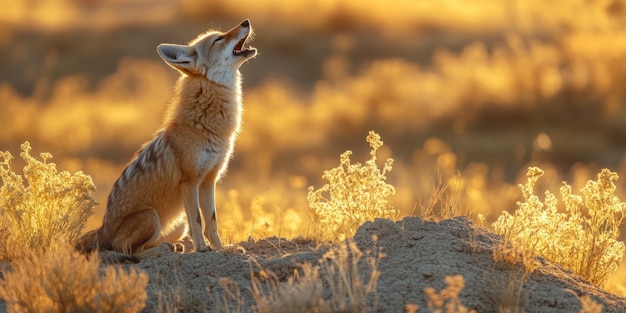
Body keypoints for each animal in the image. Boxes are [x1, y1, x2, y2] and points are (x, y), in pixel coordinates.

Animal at [75, 18, 256, 260]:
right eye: (218, 39)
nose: (246, 21)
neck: (206, 126)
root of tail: (102, 231)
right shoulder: (189, 182)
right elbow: (198, 221)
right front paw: (201, 249)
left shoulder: (209, 180)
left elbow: (212, 223)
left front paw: (221, 249)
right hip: (152, 217)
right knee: (130, 252)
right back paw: (164, 249)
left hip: (176, 224)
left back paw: (174, 247)